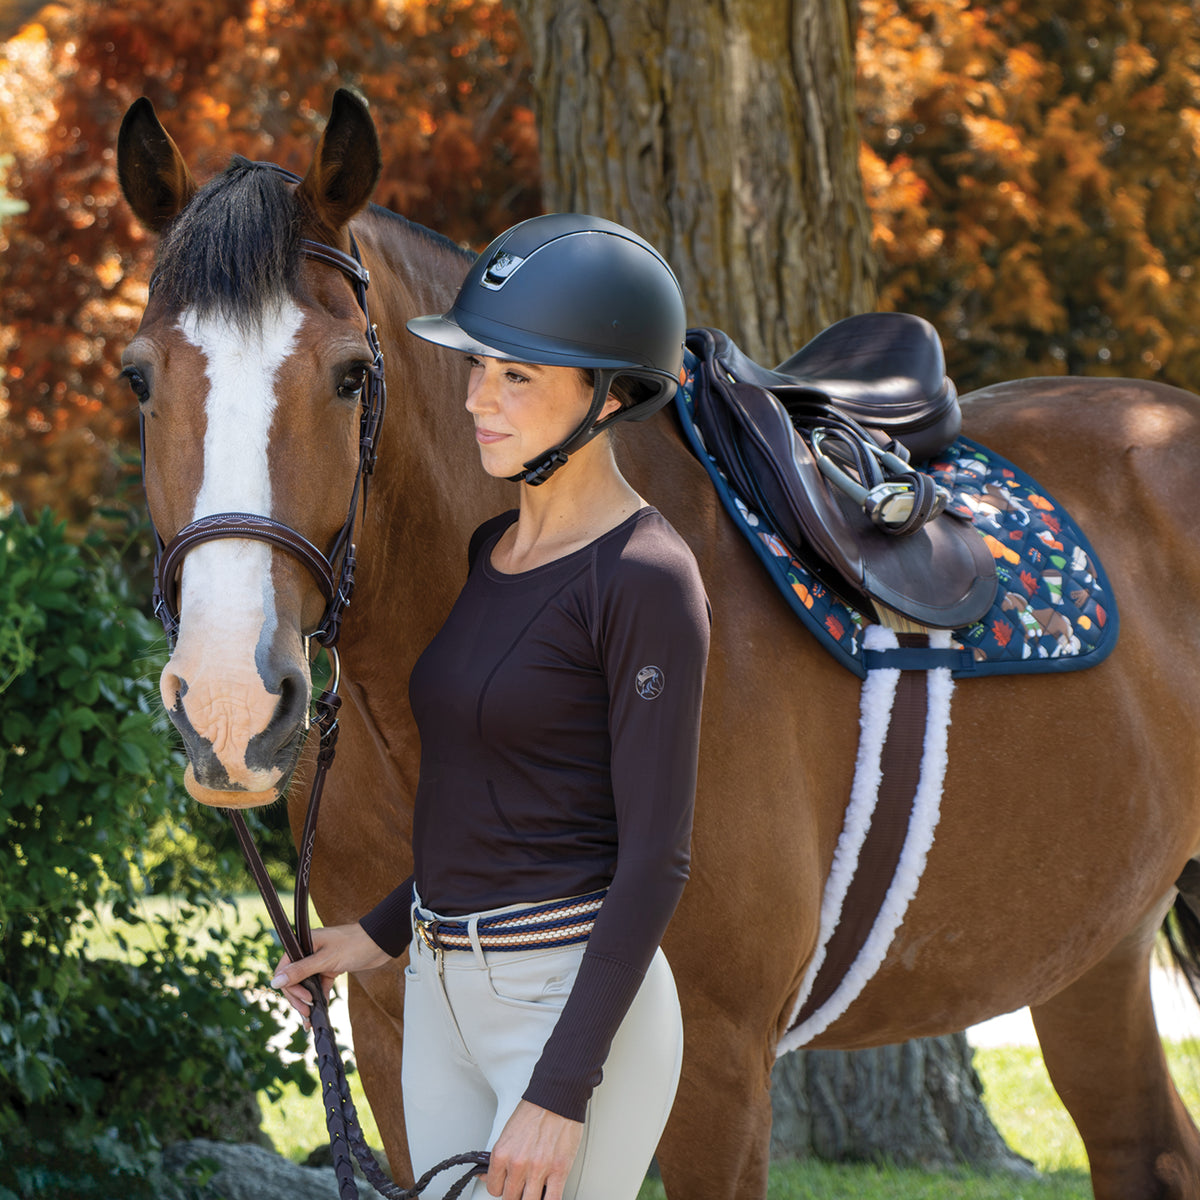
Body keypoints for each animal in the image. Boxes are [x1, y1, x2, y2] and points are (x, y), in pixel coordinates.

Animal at [116, 89, 1200, 1200]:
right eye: (141, 379)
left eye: (348, 376)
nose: (228, 706)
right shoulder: (392, 1045)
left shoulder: (716, 1070)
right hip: (1097, 950)